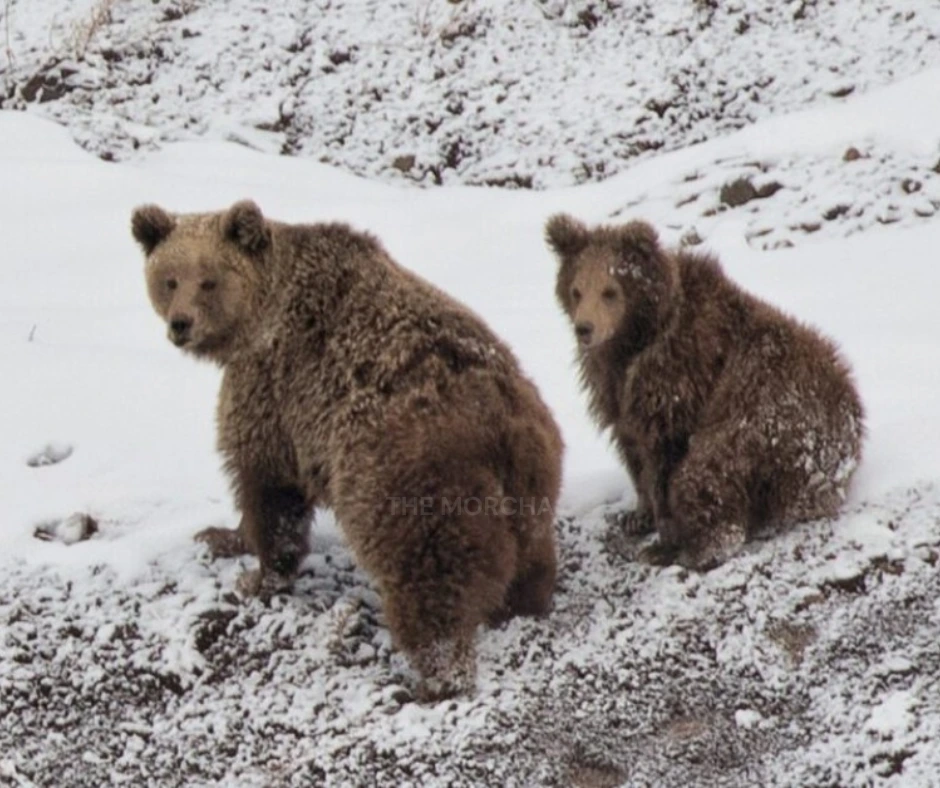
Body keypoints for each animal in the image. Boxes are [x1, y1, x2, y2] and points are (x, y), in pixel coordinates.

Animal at [131, 200, 563, 698]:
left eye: (209, 279)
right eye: (170, 278)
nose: (181, 324)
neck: (261, 315)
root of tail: (496, 417)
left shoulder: (274, 390)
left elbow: (267, 485)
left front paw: (253, 571)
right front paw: (220, 536)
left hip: (410, 473)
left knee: (431, 576)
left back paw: (435, 675)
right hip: (531, 475)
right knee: (530, 552)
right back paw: (519, 604)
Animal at [545, 214, 864, 570]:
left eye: (610, 291)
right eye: (576, 290)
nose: (584, 329)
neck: (634, 341)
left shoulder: (678, 375)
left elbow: (664, 453)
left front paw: (662, 534)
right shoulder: (614, 389)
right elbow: (632, 447)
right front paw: (637, 515)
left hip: (765, 419)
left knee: (706, 468)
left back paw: (696, 547)